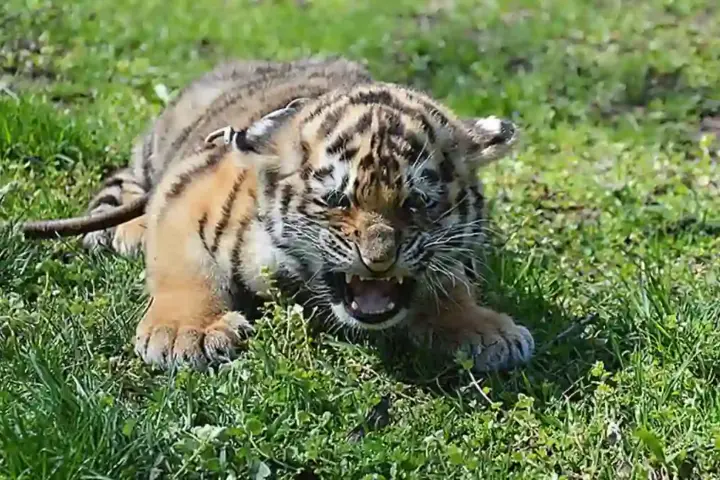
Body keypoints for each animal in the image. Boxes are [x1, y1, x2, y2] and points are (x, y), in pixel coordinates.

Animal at [80, 57, 534, 372]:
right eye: (336, 199)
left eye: (417, 202)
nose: (379, 260)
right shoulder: (187, 189)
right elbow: (183, 264)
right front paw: (186, 332)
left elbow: (451, 278)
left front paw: (480, 327)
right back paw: (130, 229)